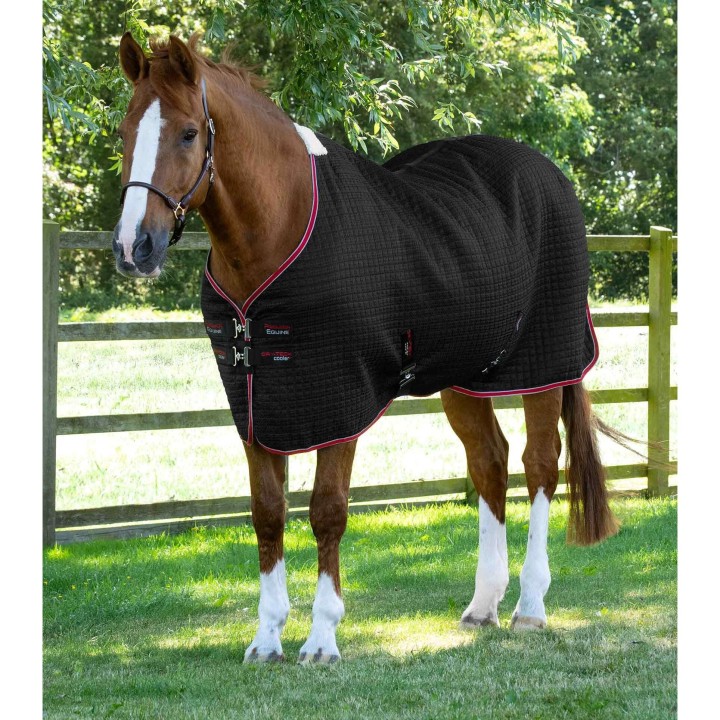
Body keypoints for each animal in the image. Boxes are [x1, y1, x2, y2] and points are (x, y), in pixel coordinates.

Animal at [113, 32, 620, 664]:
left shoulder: (341, 401)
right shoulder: (256, 404)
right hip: (464, 376)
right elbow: (267, 513)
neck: (281, 229)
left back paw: (529, 605)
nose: (133, 247)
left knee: (540, 464)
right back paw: (483, 605)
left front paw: (322, 639)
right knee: (490, 463)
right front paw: (267, 638)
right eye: (123, 132)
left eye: (187, 132)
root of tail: (549, 174)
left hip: (542, 367)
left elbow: (327, 511)